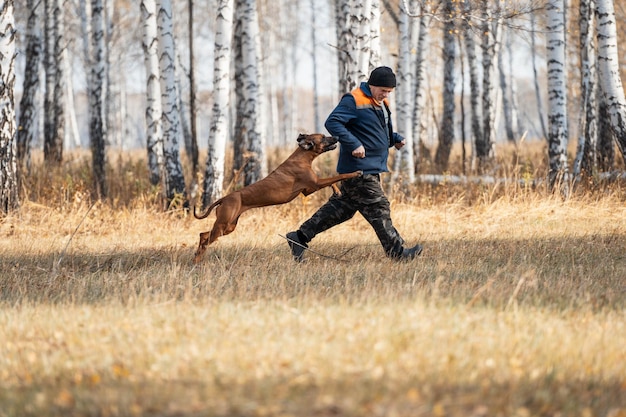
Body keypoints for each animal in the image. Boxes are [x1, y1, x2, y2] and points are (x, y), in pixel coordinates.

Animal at [194, 133, 360, 262]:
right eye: (324, 137)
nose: (337, 137)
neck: (301, 157)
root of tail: (225, 198)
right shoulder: (315, 184)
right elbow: (338, 176)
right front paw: (356, 172)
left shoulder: (310, 188)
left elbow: (332, 181)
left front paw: (337, 191)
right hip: (223, 223)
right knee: (205, 239)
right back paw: (197, 261)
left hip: (229, 226)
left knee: (203, 235)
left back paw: (198, 260)